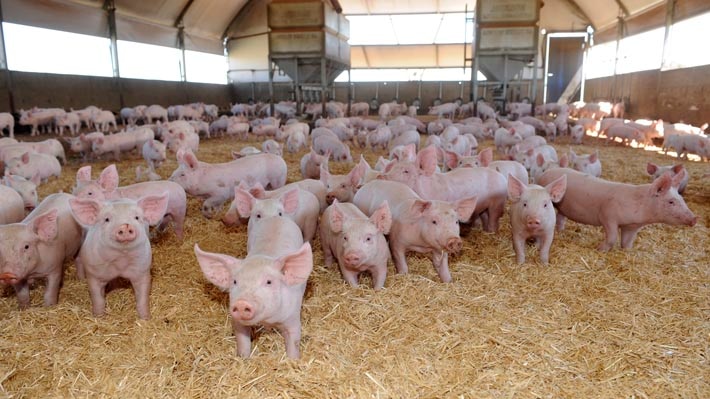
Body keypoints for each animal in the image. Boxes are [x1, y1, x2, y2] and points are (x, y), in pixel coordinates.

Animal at [70, 192, 170, 320]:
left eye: (137, 217)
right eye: (107, 219)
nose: (125, 225)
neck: (120, 261)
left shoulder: (142, 271)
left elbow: (142, 298)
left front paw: (145, 318)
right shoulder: (93, 274)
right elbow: (98, 299)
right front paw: (98, 317)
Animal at [193, 217, 312, 360]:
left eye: (269, 282)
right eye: (235, 281)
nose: (241, 303)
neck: (267, 321)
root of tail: (275, 217)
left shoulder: (292, 318)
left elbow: (294, 342)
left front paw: (293, 360)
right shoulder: (237, 322)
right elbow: (242, 340)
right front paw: (243, 358)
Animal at [536, 168, 700, 250]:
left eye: (682, 199)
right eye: (671, 202)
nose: (694, 219)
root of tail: (546, 171)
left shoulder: (632, 226)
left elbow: (627, 243)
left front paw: (626, 251)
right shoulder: (608, 216)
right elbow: (612, 237)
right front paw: (599, 249)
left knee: (561, 216)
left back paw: (561, 231)